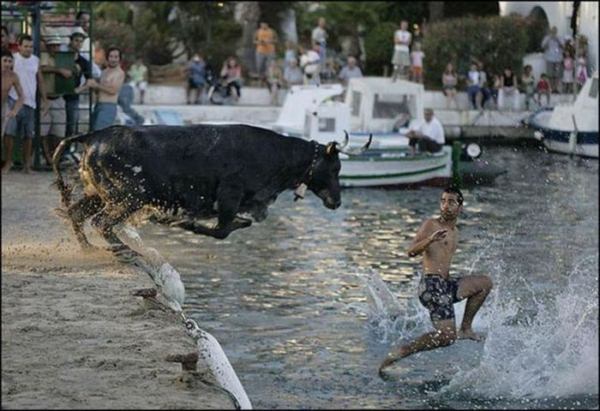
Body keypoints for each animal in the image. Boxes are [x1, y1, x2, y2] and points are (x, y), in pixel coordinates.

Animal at [52, 124, 352, 256]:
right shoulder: (230, 196)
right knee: (102, 222)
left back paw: (89, 248)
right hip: (131, 196)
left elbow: (238, 224)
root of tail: (94, 135)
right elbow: (222, 230)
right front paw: (184, 224)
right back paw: (126, 249)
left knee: (77, 214)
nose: (337, 202)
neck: (276, 155)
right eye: (335, 168)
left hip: (97, 194)